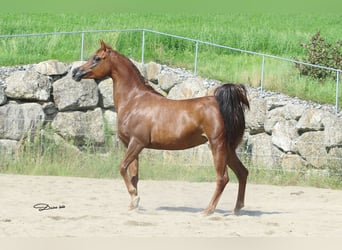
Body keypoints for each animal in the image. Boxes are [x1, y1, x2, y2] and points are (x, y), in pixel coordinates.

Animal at [72, 40, 250, 214]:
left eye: (97, 58)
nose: (75, 72)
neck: (134, 101)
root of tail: (220, 102)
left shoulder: (137, 143)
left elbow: (122, 168)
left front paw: (135, 197)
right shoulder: (130, 145)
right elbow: (134, 175)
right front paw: (134, 203)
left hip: (217, 145)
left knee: (223, 177)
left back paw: (208, 210)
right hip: (228, 148)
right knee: (242, 172)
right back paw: (237, 208)